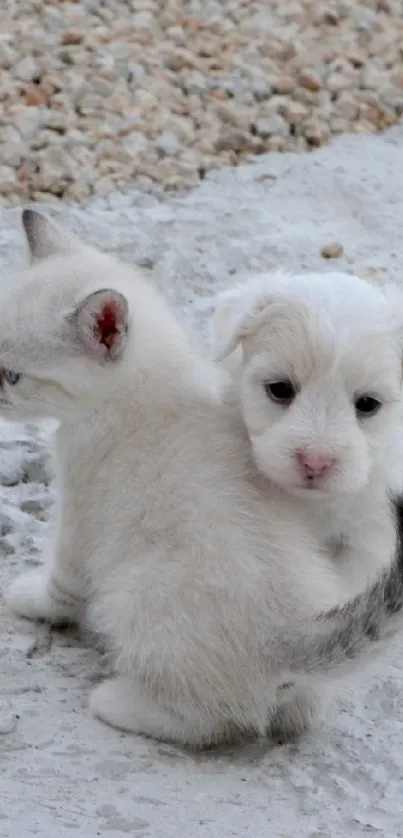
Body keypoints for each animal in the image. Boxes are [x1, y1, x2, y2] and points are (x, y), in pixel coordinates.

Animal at [4, 213, 403, 752]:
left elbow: (61, 584)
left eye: (11, 375)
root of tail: (289, 636)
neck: (150, 385)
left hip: (134, 596)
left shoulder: (79, 515)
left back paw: (120, 703)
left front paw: (31, 599)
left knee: (212, 722)